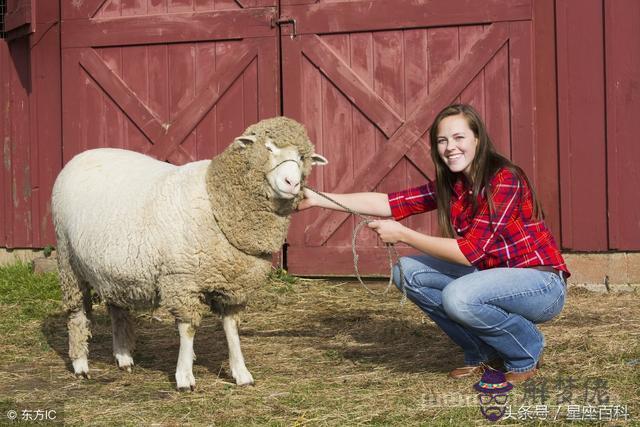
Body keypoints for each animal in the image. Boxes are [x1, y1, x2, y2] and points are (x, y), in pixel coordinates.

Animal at [50, 117, 328, 392]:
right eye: (268, 148)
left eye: (302, 157)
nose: (292, 183)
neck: (217, 203)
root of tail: (81, 156)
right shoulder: (181, 280)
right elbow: (188, 330)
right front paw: (184, 376)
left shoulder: (232, 285)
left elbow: (231, 329)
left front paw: (241, 372)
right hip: (67, 258)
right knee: (76, 313)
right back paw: (81, 365)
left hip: (113, 269)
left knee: (116, 308)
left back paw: (124, 357)